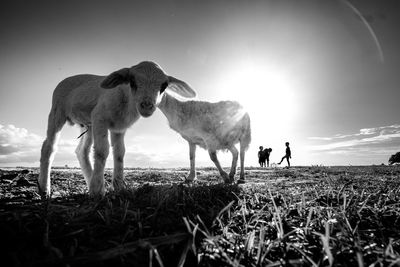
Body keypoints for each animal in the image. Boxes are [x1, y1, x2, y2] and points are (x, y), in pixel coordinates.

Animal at [38, 61, 195, 198]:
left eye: (164, 86)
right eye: (132, 81)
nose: (146, 105)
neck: (127, 100)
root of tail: (65, 79)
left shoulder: (119, 128)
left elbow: (120, 153)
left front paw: (118, 188)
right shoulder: (100, 117)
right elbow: (102, 151)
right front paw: (97, 191)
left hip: (87, 124)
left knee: (82, 151)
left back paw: (90, 181)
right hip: (57, 111)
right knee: (49, 146)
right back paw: (44, 189)